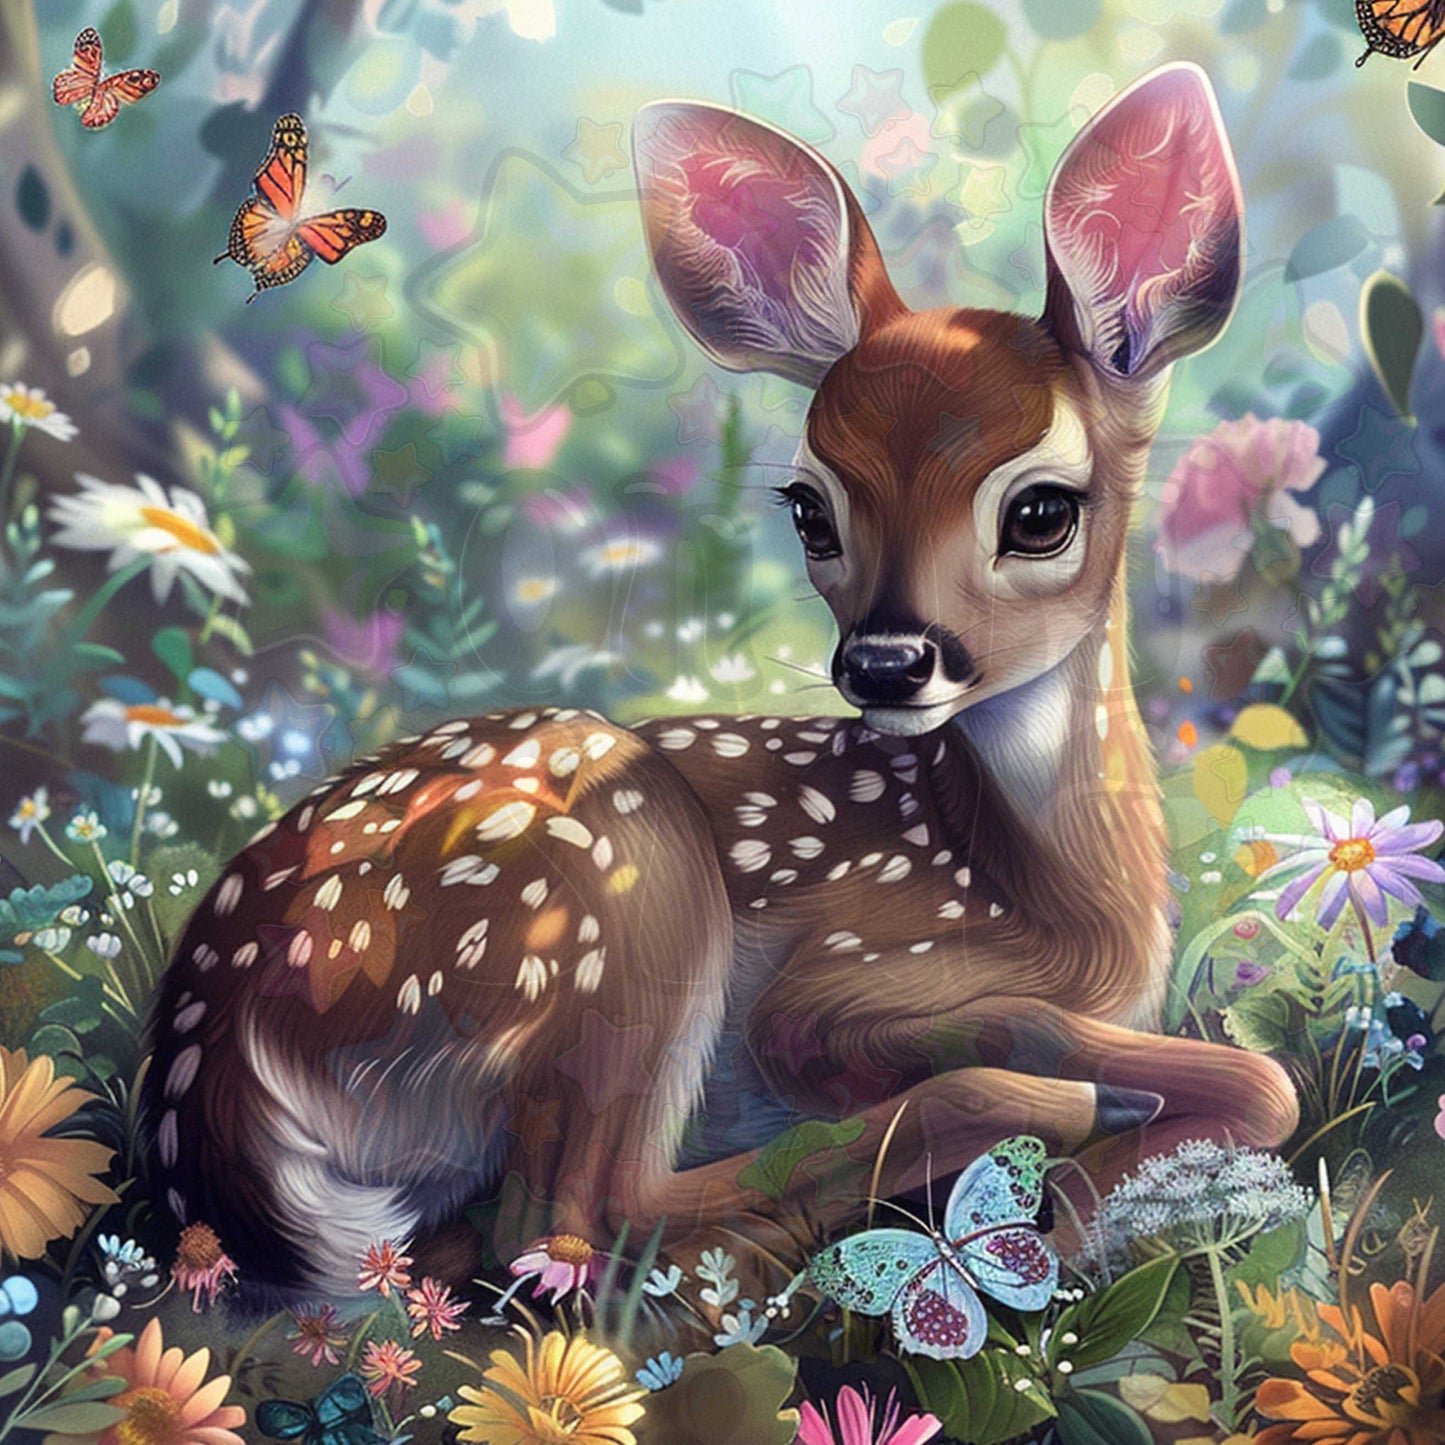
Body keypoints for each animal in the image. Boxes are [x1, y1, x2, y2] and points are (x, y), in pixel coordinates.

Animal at [139, 63, 1299, 1305]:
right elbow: (1216, 1069)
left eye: (1039, 510)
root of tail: (212, 1079)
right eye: (808, 507)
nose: (883, 661)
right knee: (571, 1223)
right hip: (615, 879)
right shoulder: (835, 982)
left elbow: (1256, 1082)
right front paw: (1085, 1178)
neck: (1062, 902)